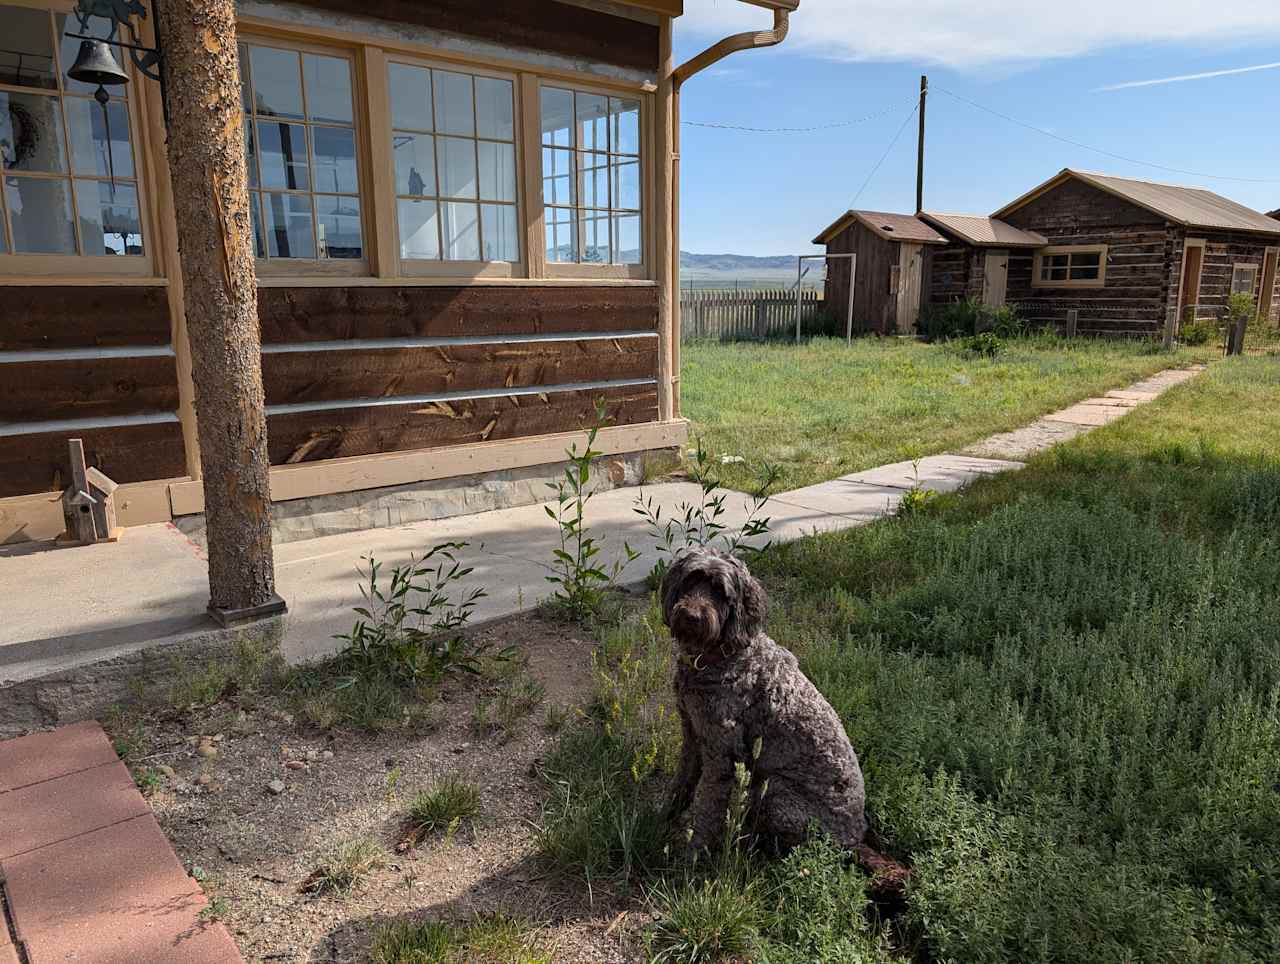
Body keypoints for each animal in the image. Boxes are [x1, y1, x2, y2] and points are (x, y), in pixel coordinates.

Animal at [660, 545, 870, 855]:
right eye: (690, 580)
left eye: (720, 592)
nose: (692, 616)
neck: (720, 655)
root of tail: (855, 838)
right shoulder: (693, 734)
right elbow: (682, 783)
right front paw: (663, 817)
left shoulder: (721, 754)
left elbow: (707, 809)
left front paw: (694, 854)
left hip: (776, 793)